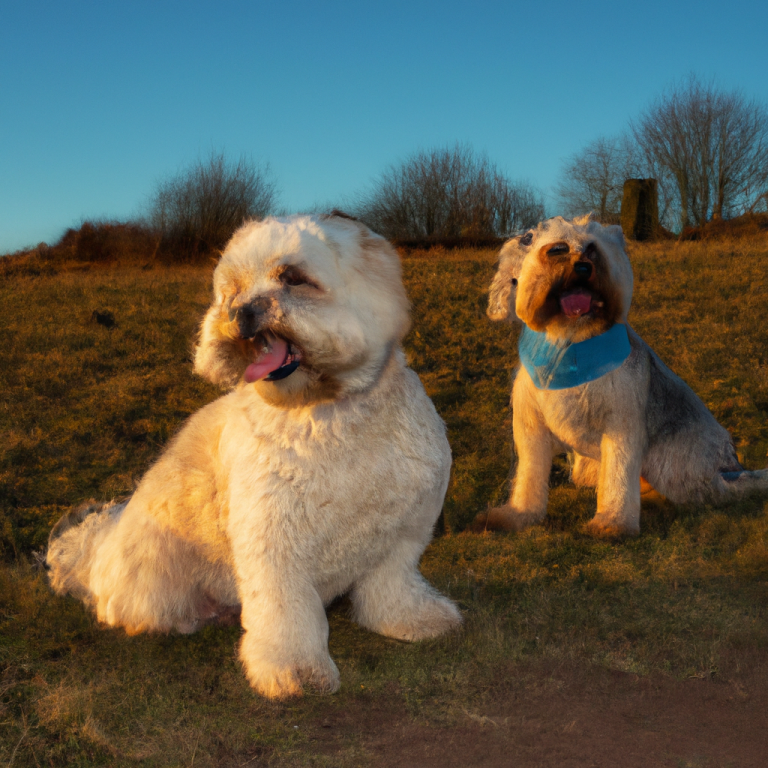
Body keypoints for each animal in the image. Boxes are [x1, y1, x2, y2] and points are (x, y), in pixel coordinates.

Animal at [48, 213, 462, 700]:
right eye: (232, 291)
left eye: (293, 277)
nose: (239, 312)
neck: (330, 411)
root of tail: (95, 554)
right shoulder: (274, 544)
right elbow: (286, 617)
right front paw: (293, 670)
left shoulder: (401, 535)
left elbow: (391, 590)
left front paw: (412, 620)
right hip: (154, 582)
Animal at [480, 214, 768, 540]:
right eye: (558, 250)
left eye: (592, 250)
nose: (583, 268)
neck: (569, 342)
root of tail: (729, 461)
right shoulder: (532, 428)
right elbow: (529, 477)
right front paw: (517, 515)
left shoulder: (622, 423)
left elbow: (618, 476)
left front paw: (612, 523)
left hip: (680, 469)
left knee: (725, 488)